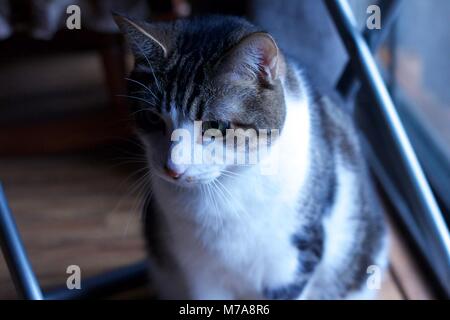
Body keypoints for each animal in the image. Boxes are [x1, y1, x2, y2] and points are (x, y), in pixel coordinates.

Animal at [114, 13, 388, 300]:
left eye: (216, 126)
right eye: (151, 118)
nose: (172, 169)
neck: (225, 190)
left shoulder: (292, 262)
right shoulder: (198, 271)